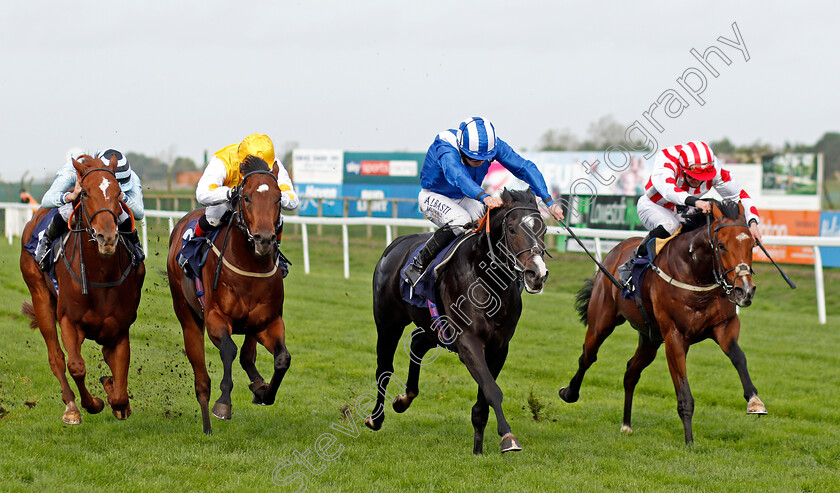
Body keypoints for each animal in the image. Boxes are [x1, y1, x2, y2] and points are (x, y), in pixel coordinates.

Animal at [20, 154, 144, 422]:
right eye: (84, 193)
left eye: (119, 192)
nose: (107, 237)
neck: (100, 273)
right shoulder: (68, 319)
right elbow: (76, 366)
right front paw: (93, 404)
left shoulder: (119, 328)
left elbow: (120, 384)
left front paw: (116, 396)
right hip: (40, 296)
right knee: (56, 356)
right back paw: (71, 406)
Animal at [167, 156, 292, 432]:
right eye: (245, 197)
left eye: (278, 198)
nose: (264, 239)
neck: (249, 267)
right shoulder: (216, 318)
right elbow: (229, 350)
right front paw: (223, 404)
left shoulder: (269, 322)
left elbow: (282, 359)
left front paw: (265, 392)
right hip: (188, 317)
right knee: (202, 380)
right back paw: (206, 427)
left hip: (252, 325)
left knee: (248, 356)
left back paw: (257, 384)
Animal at [362, 188, 548, 454]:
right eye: (512, 229)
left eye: (543, 228)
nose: (537, 274)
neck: (486, 280)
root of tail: (396, 244)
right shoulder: (468, 342)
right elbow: (492, 390)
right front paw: (508, 438)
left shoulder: (499, 347)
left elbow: (484, 397)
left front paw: (478, 449)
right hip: (388, 323)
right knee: (384, 368)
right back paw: (375, 418)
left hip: (434, 327)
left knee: (417, 343)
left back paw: (404, 399)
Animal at [556, 198, 768, 444]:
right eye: (722, 245)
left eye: (752, 245)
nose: (745, 290)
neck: (695, 273)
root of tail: (615, 251)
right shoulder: (675, 337)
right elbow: (684, 394)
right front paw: (689, 442)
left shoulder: (724, 326)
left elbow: (739, 357)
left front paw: (754, 401)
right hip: (601, 321)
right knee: (587, 357)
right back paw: (569, 393)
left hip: (650, 339)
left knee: (631, 372)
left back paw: (626, 424)